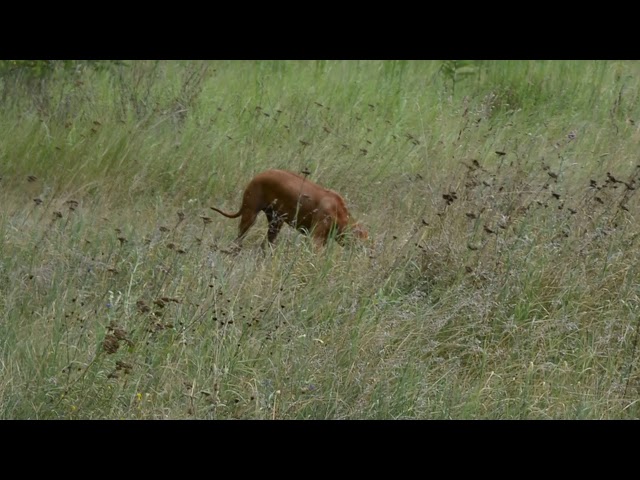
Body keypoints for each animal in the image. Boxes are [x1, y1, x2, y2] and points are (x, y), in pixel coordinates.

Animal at [211, 170, 368, 248]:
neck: (339, 212)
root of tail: (260, 174)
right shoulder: (316, 240)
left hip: (276, 222)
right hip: (250, 215)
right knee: (239, 238)